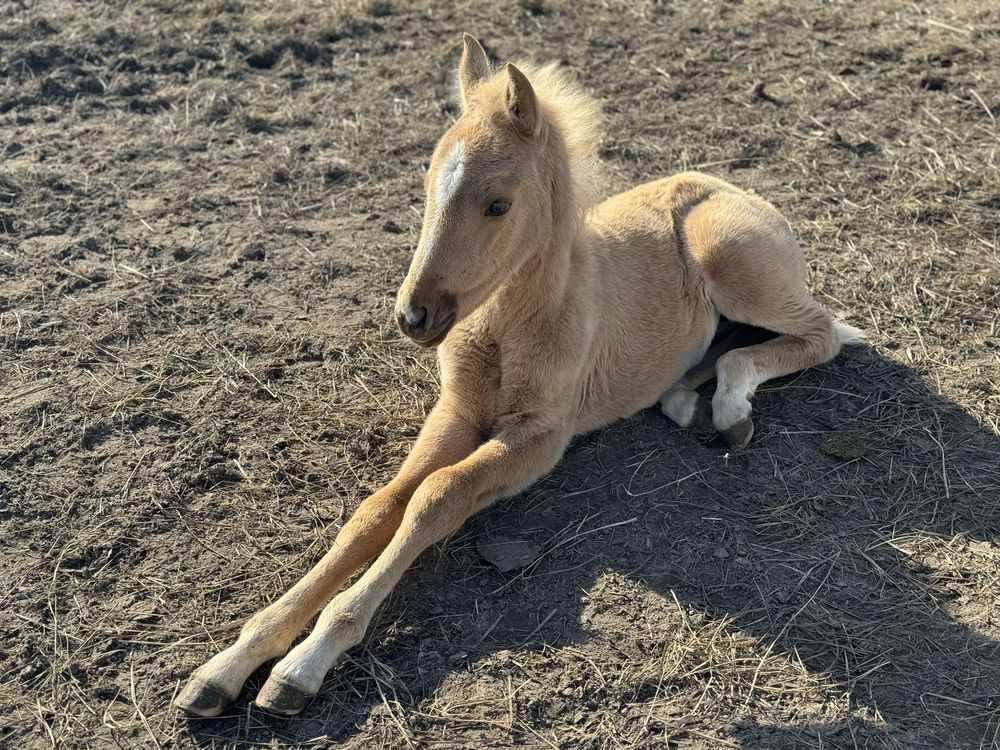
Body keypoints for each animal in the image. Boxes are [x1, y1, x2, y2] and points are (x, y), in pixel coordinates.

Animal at [176, 35, 864, 716]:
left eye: (497, 205)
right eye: (427, 184)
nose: (413, 315)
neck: (507, 328)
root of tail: (733, 187)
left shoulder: (541, 435)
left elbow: (437, 496)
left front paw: (303, 664)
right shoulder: (456, 410)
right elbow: (379, 507)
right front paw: (227, 664)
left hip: (732, 261)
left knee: (821, 333)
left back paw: (731, 412)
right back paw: (682, 400)